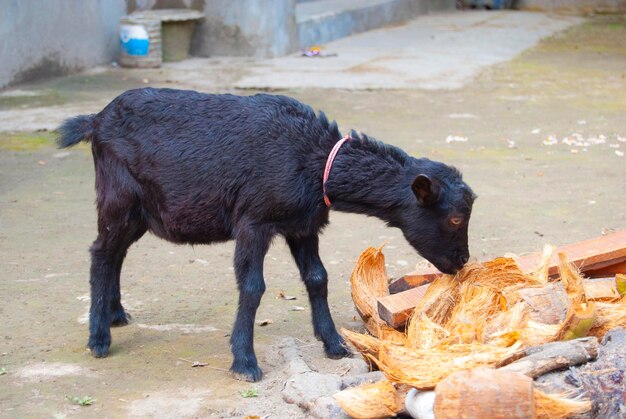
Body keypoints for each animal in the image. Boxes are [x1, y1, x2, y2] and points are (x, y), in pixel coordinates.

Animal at [57, 87, 472, 382]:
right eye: (455, 218)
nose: (462, 261)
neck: (312, 158)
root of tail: (95, 120)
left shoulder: (303, 225)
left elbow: (317, 278)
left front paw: (334, 343)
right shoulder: (253, 222)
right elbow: (253, 286)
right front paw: (244, 361)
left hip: (140, 211)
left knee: (116, 254)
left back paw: (115, 314)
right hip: (118, 197)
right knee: (101, 253)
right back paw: (98, 338)